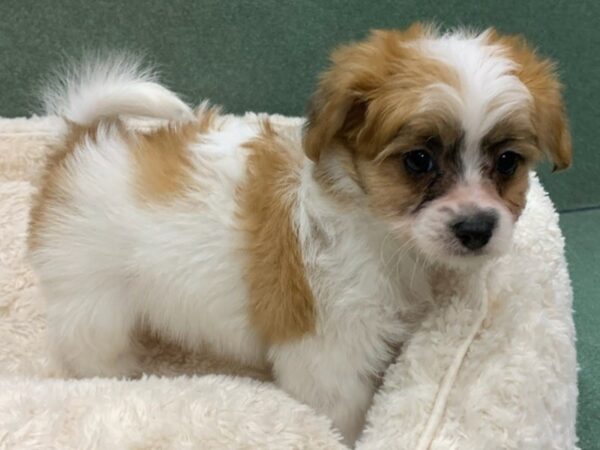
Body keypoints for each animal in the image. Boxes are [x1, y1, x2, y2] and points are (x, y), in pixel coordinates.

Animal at [29, 25, 572, 446]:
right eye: (418, 160)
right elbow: (342, 414)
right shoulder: (329, 353)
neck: (377, 230)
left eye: (508, 162)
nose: (476, 228)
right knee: (93, 348)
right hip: (94, 304)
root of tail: (79, 139)